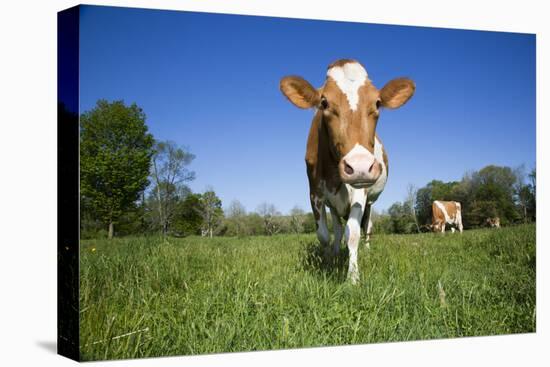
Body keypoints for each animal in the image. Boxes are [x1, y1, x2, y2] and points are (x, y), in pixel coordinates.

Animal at [282, 59, 416, 284]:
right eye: (324, 103)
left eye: (377, 103)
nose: (360, 166)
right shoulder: (315, 193)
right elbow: (324, 234)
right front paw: (328, 262)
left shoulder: (360, 192)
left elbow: (353, 233)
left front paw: (352, 278)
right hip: (333, 205)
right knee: (336, 228)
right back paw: (336, 252)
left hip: (370, 201)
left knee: (367, 227)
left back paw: (366, 250)